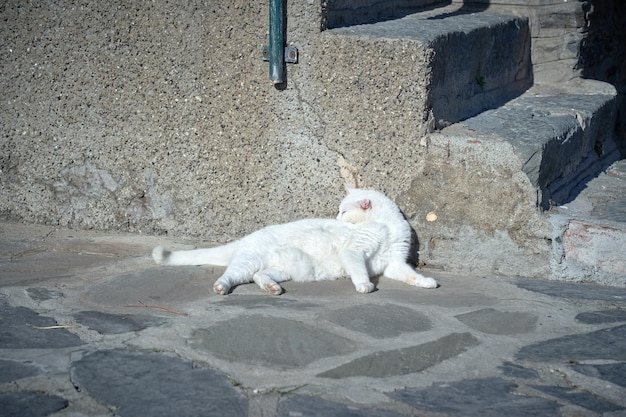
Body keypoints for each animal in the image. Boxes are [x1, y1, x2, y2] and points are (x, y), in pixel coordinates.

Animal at [152, 187, 436, 294]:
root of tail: (245, 239)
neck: (386, 224)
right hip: (248, 262)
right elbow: (359, 269)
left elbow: (410, 275)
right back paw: (222, 287)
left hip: (289, 268)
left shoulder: (394, 263)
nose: (335, 216)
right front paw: (365, 285)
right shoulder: (354, 253)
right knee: (230, 276)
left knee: (259, 275)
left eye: (343, 211)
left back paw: (271, 288)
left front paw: (425, 282)